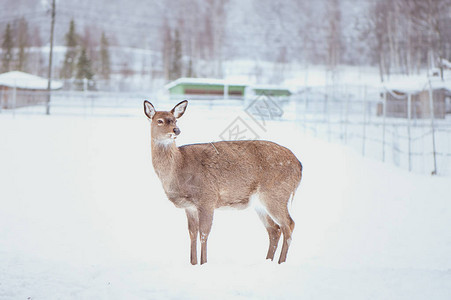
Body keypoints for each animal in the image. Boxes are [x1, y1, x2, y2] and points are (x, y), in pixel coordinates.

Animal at [145, 99, 304, 264]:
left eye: (175, 120)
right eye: (160, 121)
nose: (176, 130)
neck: (179, 168)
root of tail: (299, 165)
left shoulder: (208, 198)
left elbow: (204, 233)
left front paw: (204, 263)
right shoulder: (189, 207)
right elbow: (192, 234)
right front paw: (193, 263)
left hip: (277, 194)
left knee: (289, 225)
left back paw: (281, 261)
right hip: (260, 203)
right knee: (274, 229)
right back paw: (268, 260)